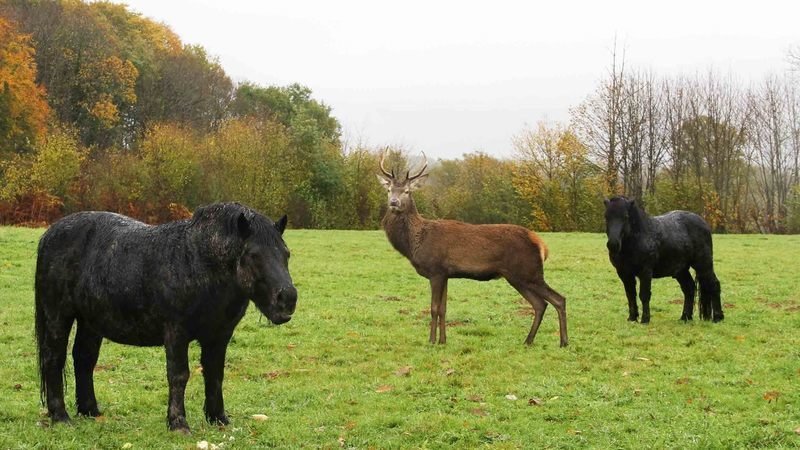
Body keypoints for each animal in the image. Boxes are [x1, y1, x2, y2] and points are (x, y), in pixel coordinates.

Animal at [35, 202, 297, 432]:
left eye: (286, 253)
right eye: (254, 255)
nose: (287, 298)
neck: (196, 262)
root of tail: (49, 235)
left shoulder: (219, 336)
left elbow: (215, 374)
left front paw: (218, 418)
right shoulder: (176, 334)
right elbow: (179, 376)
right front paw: (178, 423)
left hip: (90, 322)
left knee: (84, 359)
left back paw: (90, 411)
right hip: (58, 316)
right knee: (54, 359)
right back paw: (60, 416)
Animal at [376, 152, 568, 347]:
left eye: (407, 191)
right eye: (389, 189)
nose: (394, 202)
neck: (415, 243)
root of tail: (542, 245)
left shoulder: (435, 270)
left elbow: (434, 308)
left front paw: (431, 341)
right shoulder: (445, 274)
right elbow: (443, 308)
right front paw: (443, 341)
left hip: (529, 272)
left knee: (558, 299)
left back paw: (563, 342)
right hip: (518, 277)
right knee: (540, 304)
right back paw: (528, 341)